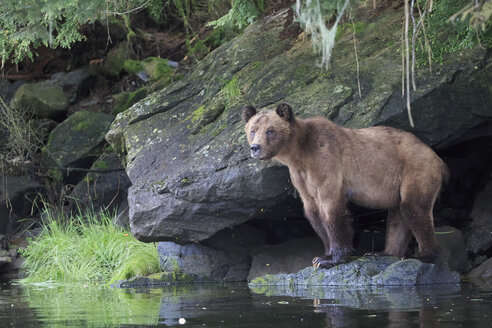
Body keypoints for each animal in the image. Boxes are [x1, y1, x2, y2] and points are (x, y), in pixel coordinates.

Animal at [242, 103, 450, 270]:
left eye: (270, 130)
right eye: (253, 130)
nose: (255, 148)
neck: (298, 155)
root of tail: (437, 158)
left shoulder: (325, 163)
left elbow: (331, 211)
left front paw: (331, 258)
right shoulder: (301, 178)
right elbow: (312, 211)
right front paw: (322, 255)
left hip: (415, 168)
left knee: (413, 207)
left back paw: (423, 255)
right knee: (397, 216)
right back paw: (382, 252)